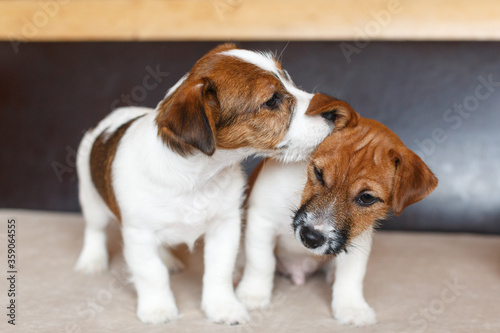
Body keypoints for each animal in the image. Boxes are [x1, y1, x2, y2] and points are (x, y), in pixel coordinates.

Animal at [74, 43, 344, 324]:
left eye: (288, 78)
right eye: (271, 101)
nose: (332, 113)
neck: (197, 177)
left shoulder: (225, 226)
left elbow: (218, 271)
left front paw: (222, 307)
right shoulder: (139, 234)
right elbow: (152, 274)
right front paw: (158, 309)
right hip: (90, 199)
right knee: (95, 230)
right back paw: (92, 262)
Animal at [236, 97, 436, 326]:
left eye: (367, 198)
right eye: (318, 173)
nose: (311, 237)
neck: (300, 190)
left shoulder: (358, 239)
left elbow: (351, 276)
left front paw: (352, 307)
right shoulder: (262, 221)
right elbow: (261, 262)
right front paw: (253, 294)